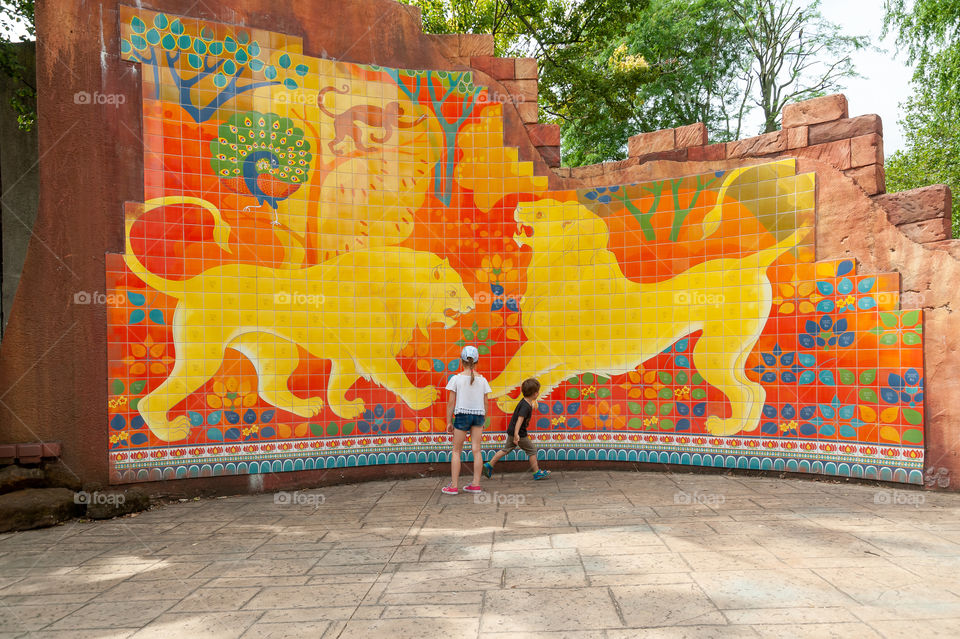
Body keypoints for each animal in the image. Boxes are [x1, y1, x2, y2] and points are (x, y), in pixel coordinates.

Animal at [124, 198, 476, 442]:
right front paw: (421, 397)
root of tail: (190, 283)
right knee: (149, 400)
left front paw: (345, 408)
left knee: (269, 388)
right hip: (204, 356)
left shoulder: (348, 357)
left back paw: (307, 407)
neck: (402, 291)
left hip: (277, 349)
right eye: (454, 291)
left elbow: (337, 386)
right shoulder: (372, 350)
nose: (473, 305)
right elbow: (395, 374)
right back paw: (171, 431)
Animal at [488, 182, 808, 438]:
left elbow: (515, 371)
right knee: (757, 389)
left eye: (541, 214)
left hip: (711, 352)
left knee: (743, 392)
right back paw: (749, 429)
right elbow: (539, 382)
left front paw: (489, 390)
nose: (517, 206)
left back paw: (724, 428)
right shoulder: (563, 356)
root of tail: (749, 262)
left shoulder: (546, 348)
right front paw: (510, 402)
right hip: (735, 348)